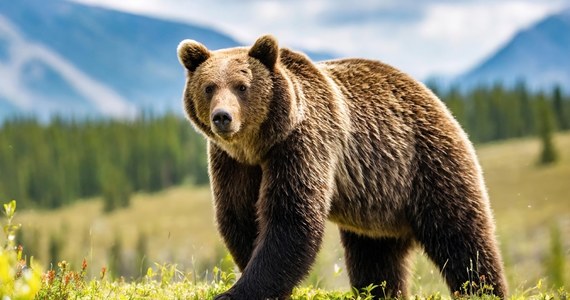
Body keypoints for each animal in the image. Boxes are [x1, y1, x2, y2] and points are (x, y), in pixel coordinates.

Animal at [175, 35, 504, 300]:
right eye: (209, 87)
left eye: (242, 86)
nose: (222, 117)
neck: (260, 144)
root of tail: (433, 97)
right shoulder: (232, 162)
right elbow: (239, 215)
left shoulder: (303, 143)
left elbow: (291, 218)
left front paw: (237, 292)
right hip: (379, 205)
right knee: (375, 260)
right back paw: (380, 292)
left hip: (427, 164)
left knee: (463, 240)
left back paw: (484, 290)